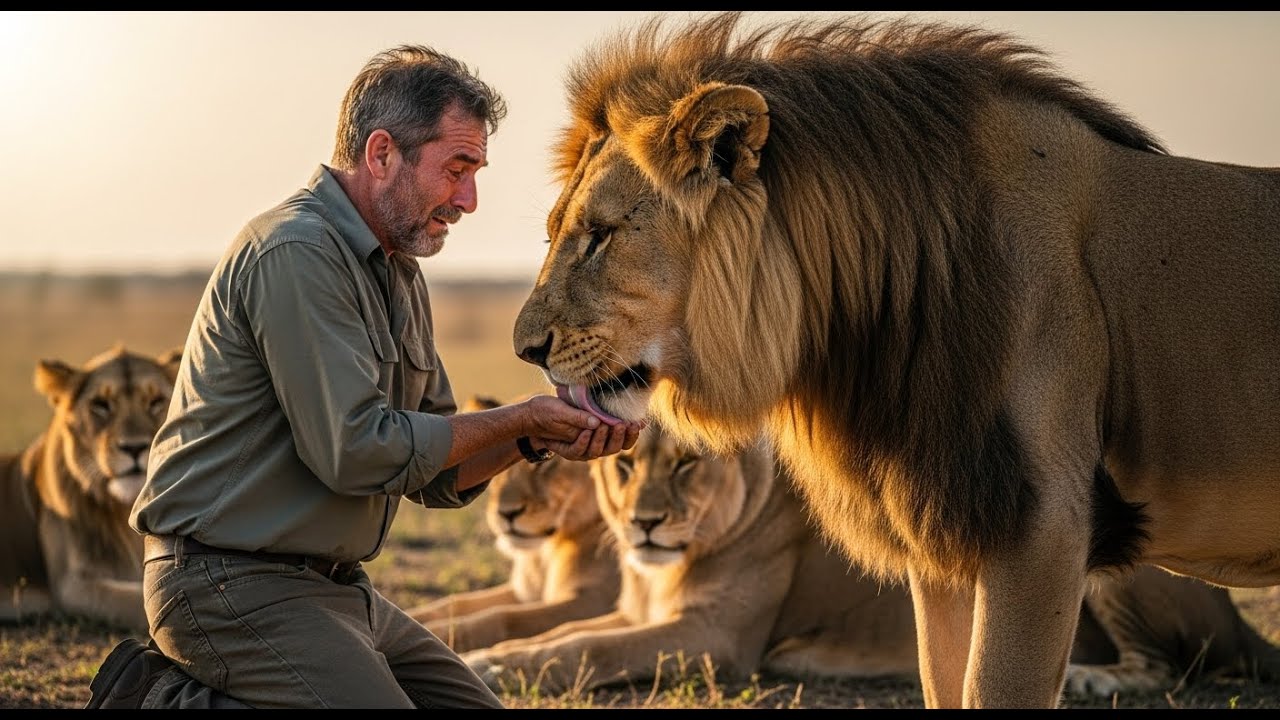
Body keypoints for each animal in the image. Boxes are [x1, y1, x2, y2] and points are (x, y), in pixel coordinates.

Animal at [0, 344, 181, 631]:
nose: (134, 448)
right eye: (100, 405)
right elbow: (140, 602)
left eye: (155, 401)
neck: (124, 512)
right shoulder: (71, 588)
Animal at [405, 396, 620, 653]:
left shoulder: (596, 599)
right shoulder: (522, 592)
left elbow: (504, 617)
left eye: (545, 464)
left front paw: (435, 635)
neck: (545, 554)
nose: (507, 513)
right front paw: (415, 619)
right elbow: (454, 603)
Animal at [511, 11, 1280, 708]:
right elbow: (944, 685)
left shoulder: (1043, 528)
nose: (526, 349)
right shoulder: (944, 525)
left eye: (600, 235)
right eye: (554, 232)